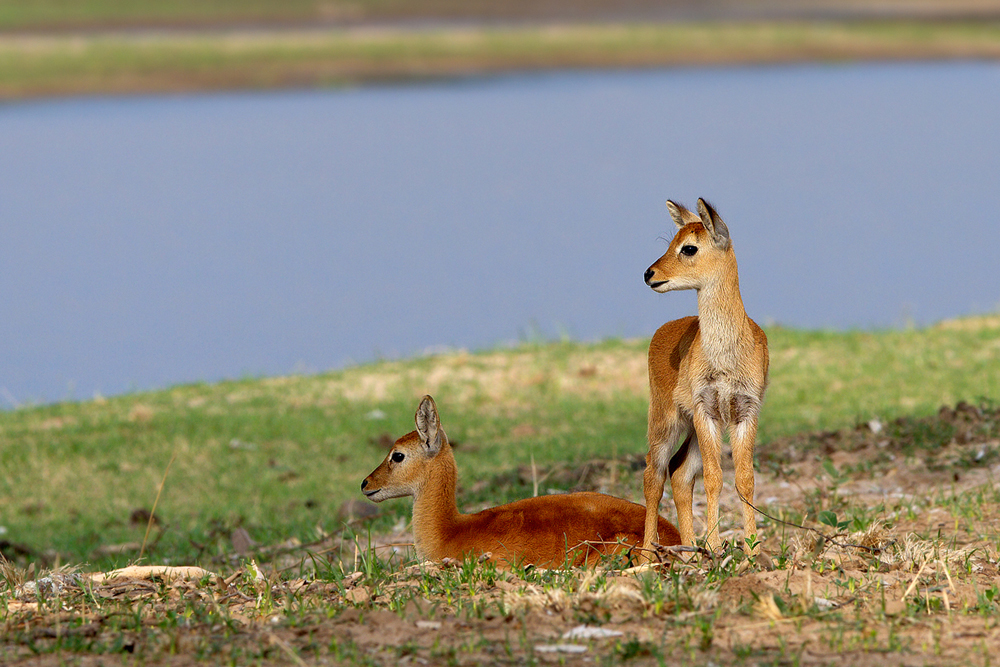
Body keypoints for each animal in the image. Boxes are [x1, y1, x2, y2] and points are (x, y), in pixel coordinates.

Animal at [636, 198, 768, 560]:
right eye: (671, 241)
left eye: (689, 247)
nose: (649, 274)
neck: (726, 356)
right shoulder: (705, 408)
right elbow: (713, 477)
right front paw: (717, 545)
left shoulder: (744, 411)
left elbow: (745, 478)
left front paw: (751, 548)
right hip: (667, 420)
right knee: (653, 473)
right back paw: (647, 554)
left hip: (693, 428)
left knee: (680, 473)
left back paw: (689, 549)